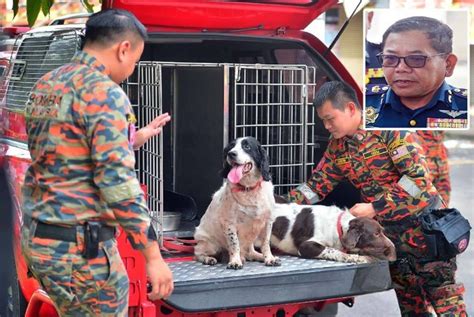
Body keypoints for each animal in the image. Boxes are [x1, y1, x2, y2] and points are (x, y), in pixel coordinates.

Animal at [193, 136, 280, 270]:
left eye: (247, 146)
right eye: (231, 147)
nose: (231, 154)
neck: (248, 189)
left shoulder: (268, 221)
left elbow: (266, 243)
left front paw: (269, 258)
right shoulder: (230, 223)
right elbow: (234, 244)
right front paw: (235, 261)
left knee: (250, 252)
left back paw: (259, 256)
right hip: (209, 243)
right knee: (198, 252)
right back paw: (209, 259)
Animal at [266, 201, 396, 262]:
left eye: (382, 231)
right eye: (376, 234)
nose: (394, 252)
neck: (337, 226)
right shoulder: (305, 246)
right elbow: (332, 250)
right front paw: (355, 258)